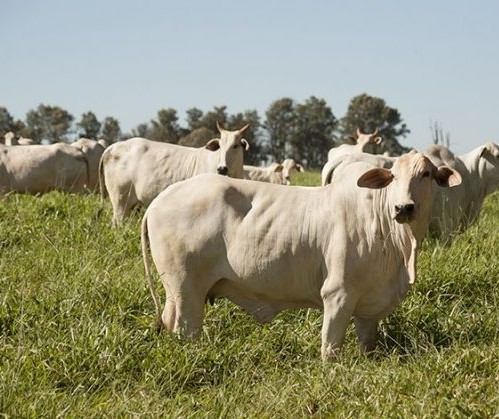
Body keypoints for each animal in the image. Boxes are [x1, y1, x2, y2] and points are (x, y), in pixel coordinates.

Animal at [141, 151, 460, 360]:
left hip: (176, 293)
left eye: (426, 174)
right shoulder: (337, 294)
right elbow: (330, 348)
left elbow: (367, 344)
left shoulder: (369, 307)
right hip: (186, 290)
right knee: (185, 329)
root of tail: (161, 199)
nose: (403, 207)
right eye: (393, 176)